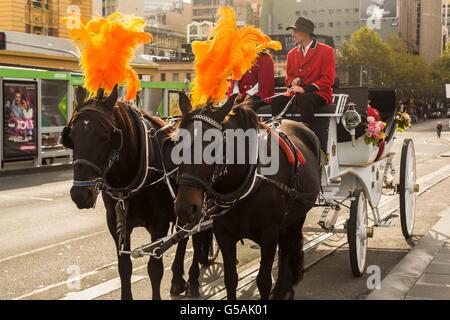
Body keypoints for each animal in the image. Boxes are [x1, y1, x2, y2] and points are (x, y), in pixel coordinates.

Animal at [64, 86, 214, 298]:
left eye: (106, 135)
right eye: (72, 136)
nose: (80, 194)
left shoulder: (159, 223)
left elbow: (155, 269)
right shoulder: (117, 223)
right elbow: (124, 267)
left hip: (197, 206)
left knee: (196, 235)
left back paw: (192, 280)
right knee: (182, 237)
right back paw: (177, 279)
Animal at [174, 97, 322, 300]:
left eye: (211, 145)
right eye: (177, 144)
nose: (185, 208)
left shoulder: (269, 234)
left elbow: (263, 281)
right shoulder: (224, 234)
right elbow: (230, 279)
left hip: (297, 216)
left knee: (288, 246)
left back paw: (284, 288)